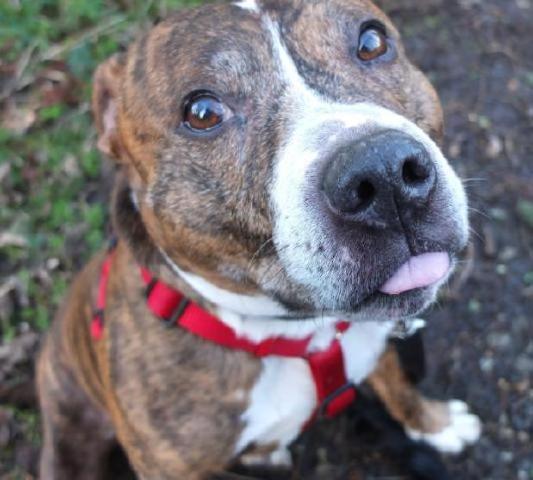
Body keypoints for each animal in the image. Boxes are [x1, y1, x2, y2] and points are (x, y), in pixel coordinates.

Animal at [35, 1, 480, 478]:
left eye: (372, 41)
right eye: (202, 112)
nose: (384, 175)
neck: (298, 335)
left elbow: (401, 389)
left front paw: (435, 424)